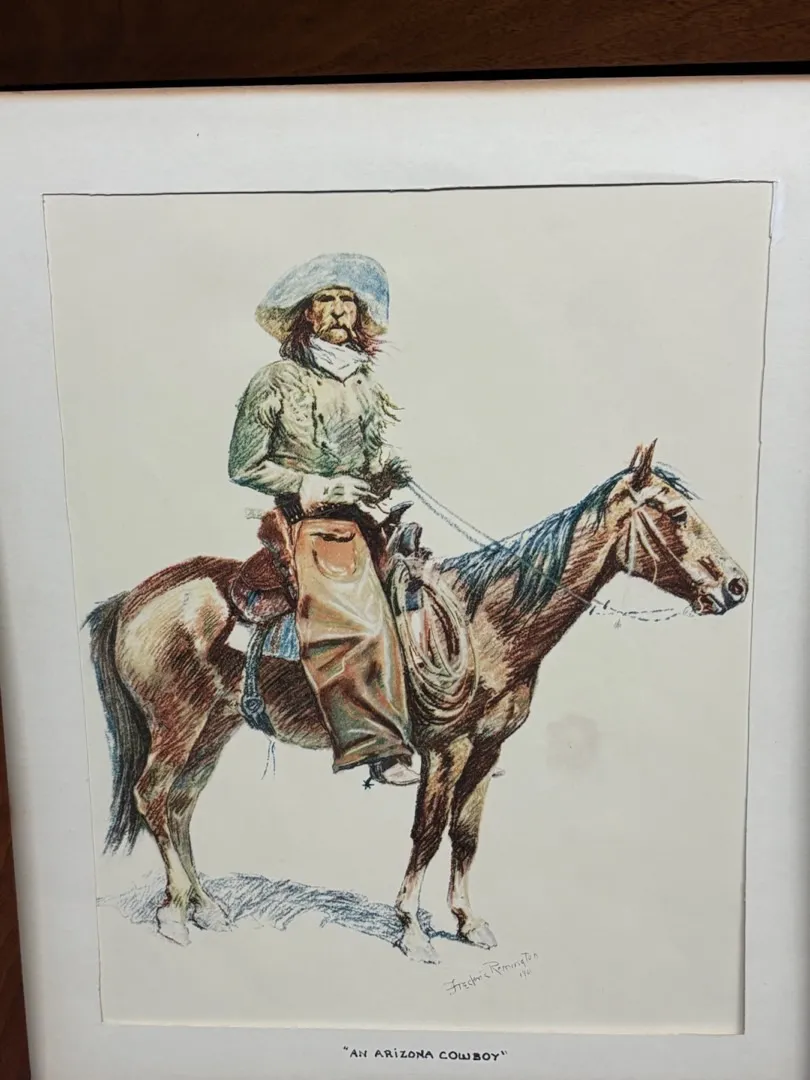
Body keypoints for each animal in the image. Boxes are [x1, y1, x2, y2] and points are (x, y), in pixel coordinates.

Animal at [86, 441, 749, 963]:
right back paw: (174, 914)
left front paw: (468, 923)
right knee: (153, 797)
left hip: (214, 729)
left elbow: (466, 835)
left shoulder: (486, 748)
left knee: (180, 807)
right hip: (178, 724)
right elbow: (427, 832)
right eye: (676, 512)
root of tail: (131, 598)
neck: (485, 620)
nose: (736, 585)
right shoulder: (446, 749)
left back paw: (205, 907)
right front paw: (411, 929)